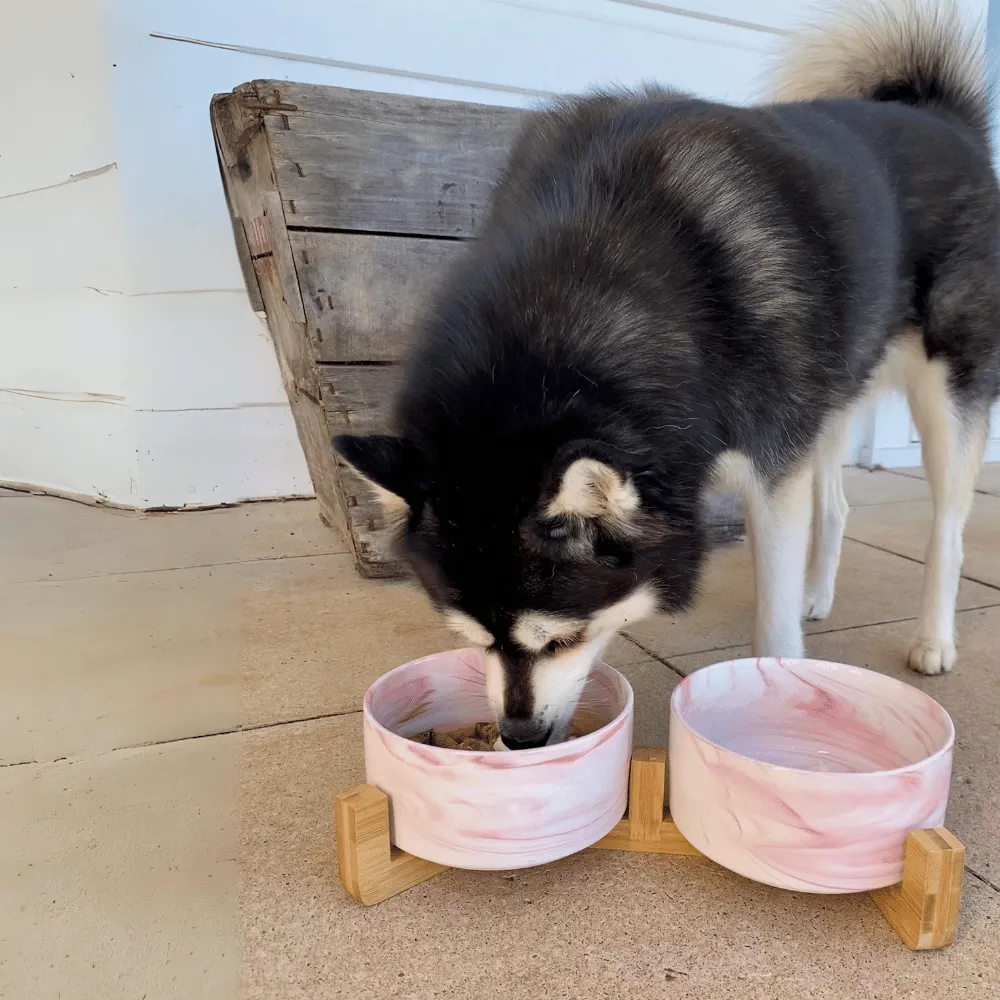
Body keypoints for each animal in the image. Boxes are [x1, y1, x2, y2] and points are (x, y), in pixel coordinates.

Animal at [338, 1, 1000, 752]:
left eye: (562, 639)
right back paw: (817, 593)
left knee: (947, 528)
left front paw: (777, 682)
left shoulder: (772, 468)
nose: (519, 737)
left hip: (944, 390)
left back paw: (933, 637)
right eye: (472, 638)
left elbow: (772, 611)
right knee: (835, 503)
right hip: (829, 386)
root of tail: (940, 114)